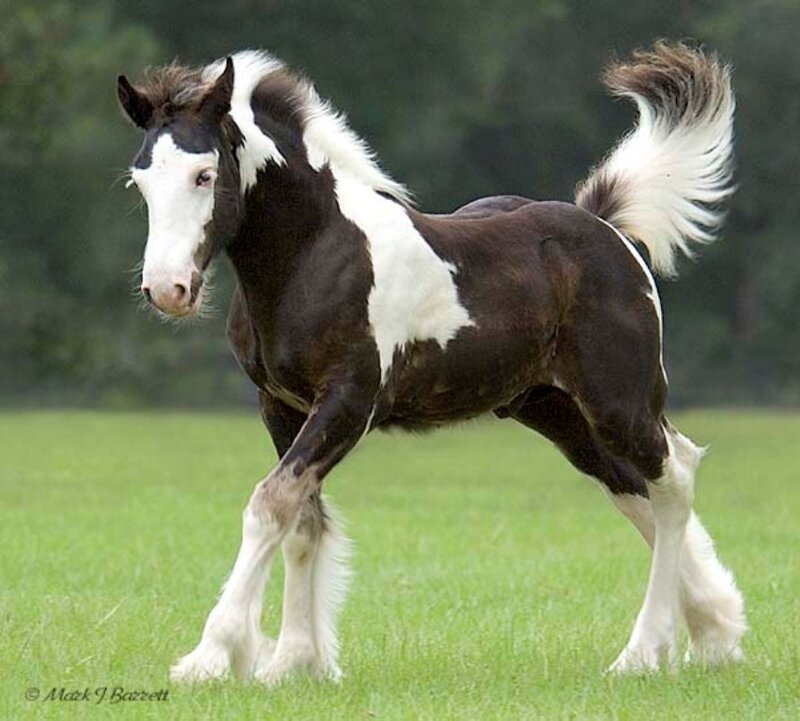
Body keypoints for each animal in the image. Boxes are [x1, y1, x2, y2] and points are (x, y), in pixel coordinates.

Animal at [117, 41, 746, 684]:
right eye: (140, 182)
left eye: (204, 174)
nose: (167, 288)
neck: (316, 255)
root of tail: (606, 229)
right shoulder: (281, 407)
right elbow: (302, 521)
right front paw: (295, 661)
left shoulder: (348, 402)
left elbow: (270, 505)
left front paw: (213, 655)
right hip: (557, 412)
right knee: (635, 490)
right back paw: (714, 632)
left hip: (617, 400)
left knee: (675, 477)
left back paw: (644, 652)